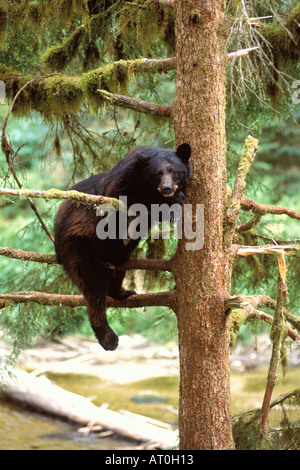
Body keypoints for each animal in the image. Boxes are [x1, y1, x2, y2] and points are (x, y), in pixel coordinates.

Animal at [54, 145, 191, 350]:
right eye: (157, 173)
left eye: (175, 172)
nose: (167, 188)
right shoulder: (122, 183)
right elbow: (125, 199)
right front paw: (174, 199)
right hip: (77, 245)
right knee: (93, 292)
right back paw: (107, 336)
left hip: (113, 253)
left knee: (119, 267)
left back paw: (122, 291)